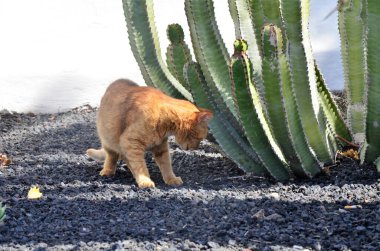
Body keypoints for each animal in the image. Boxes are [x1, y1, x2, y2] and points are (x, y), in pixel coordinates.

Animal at [85, 79, 214, 187]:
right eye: (199, 138)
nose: (195, 148)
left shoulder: (161, 147)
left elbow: (166, 165)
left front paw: (171, 179)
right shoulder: (131, 142)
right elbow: (140, 166)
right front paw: (145, 181)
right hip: (109, 141)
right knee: (112, 157)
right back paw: (108, 171)